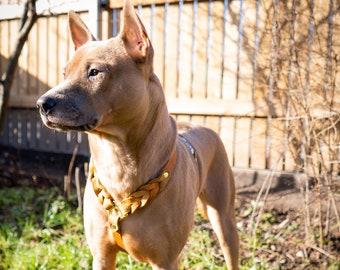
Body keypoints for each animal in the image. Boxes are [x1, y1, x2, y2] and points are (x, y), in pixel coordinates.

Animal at [36, 1, 239, 268]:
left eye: (95, 72)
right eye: (64, 73)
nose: (42, 104)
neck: (118, 158)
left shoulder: (165, 261)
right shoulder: (102, 257)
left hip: (223, 218)